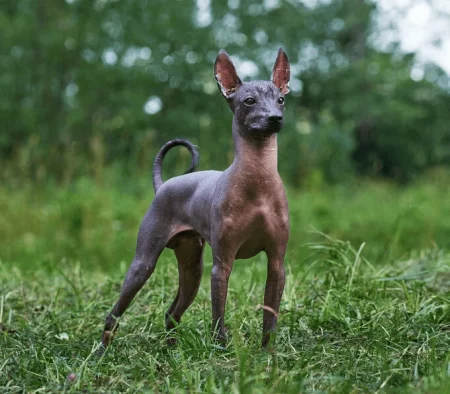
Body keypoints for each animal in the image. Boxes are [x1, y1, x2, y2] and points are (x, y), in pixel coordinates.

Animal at [101, 48, 292, 348]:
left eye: (281, 99)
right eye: (249, 101)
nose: (275, 118)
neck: (258, 182)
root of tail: (163, 185)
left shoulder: (276, 264)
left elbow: (270, 318)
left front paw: (268, 353)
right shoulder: (222, 265)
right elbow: (218, 316)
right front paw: (221, 350)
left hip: (192, 267)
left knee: (171, 313)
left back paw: (171, 351)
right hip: (144, 265)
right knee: (115, 314)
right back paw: (101, 352)